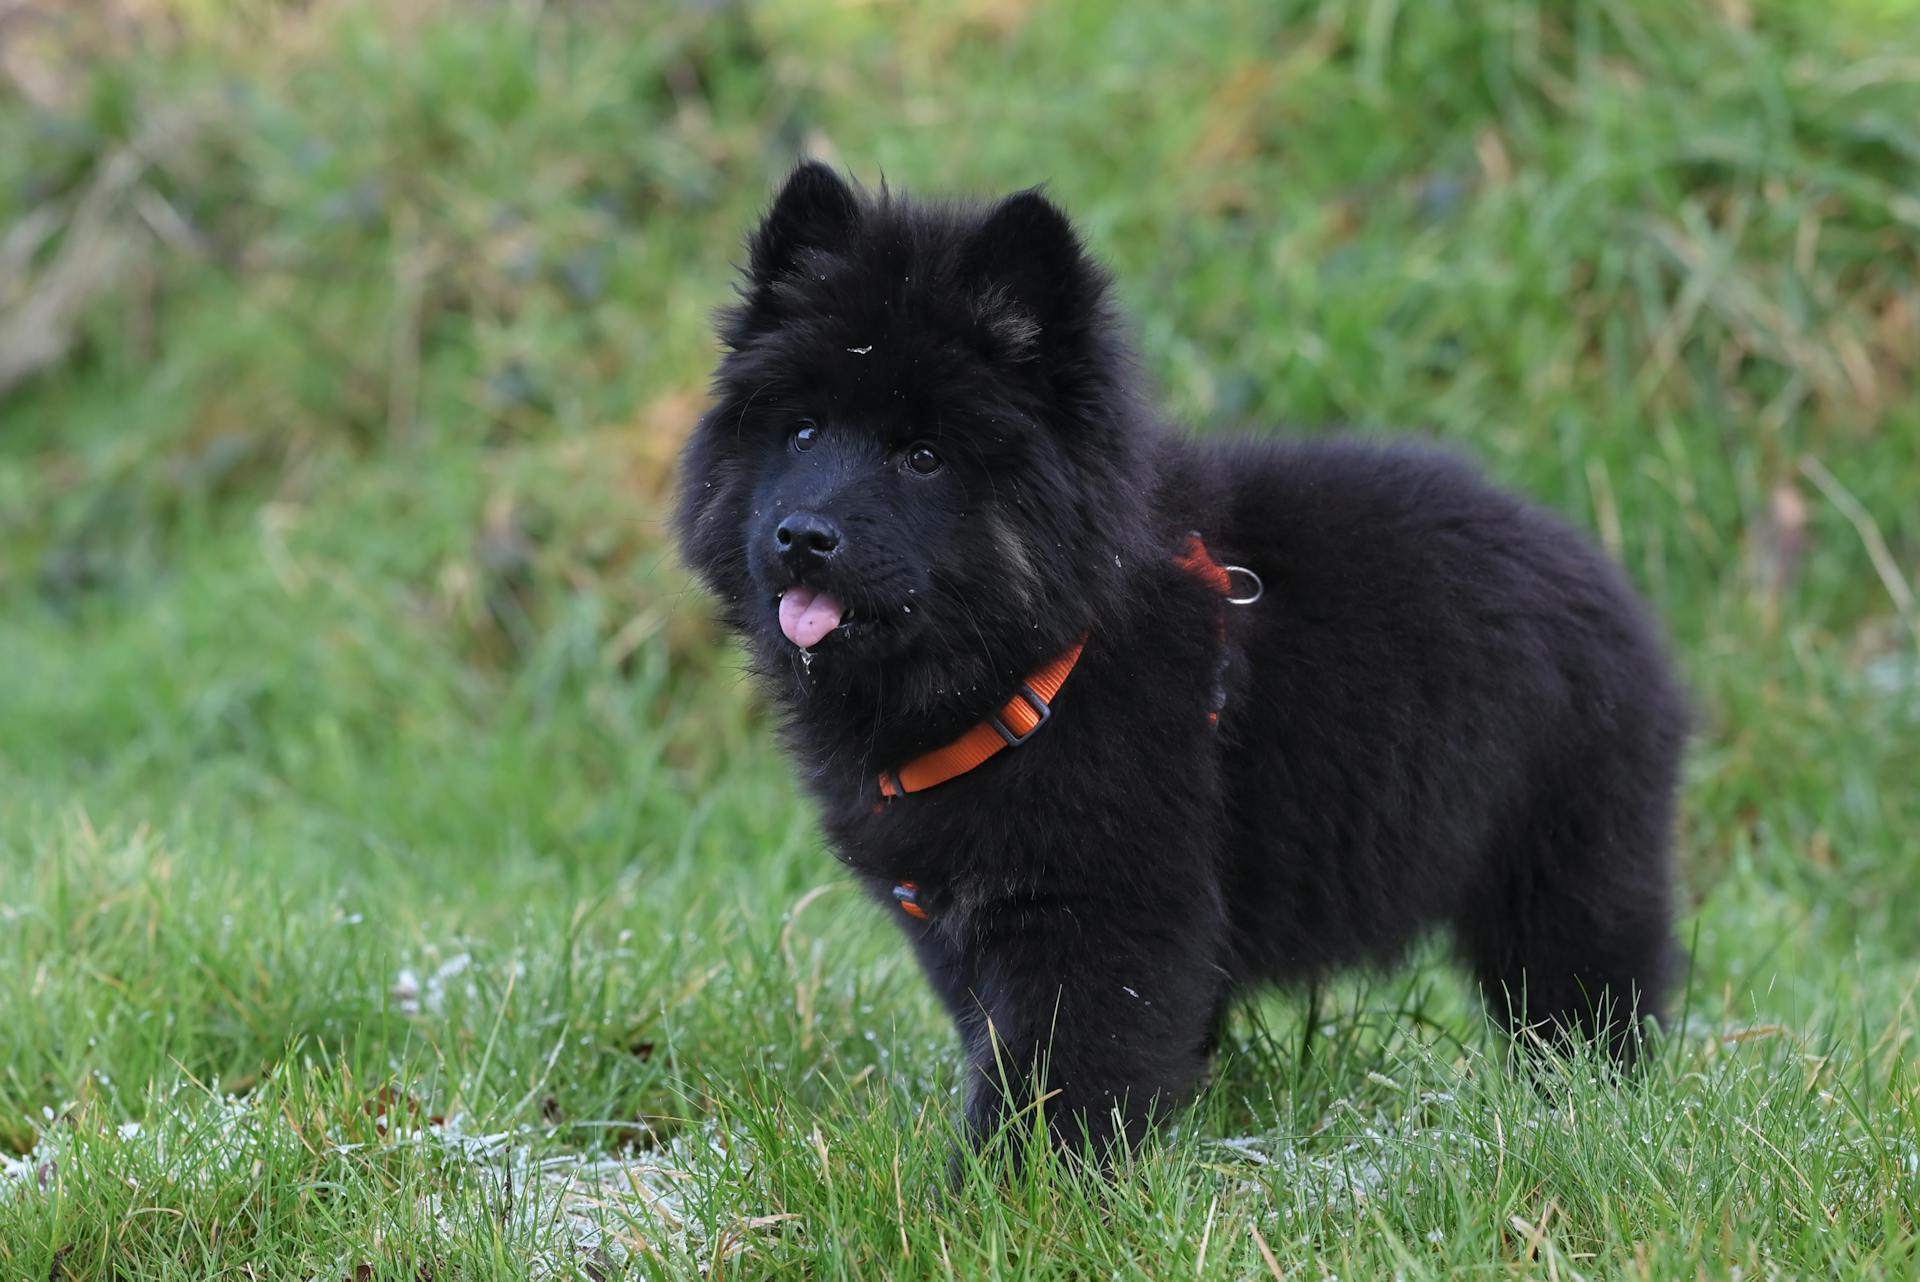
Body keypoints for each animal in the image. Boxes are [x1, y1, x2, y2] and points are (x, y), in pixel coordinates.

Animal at [672, 165, 1681, 1159]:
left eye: (922, 456)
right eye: (803, 432)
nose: (803, 536)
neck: (1045, 664)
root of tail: (1604, 581)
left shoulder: (1104, 904)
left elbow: (1061, 1059)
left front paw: (1020, 1180)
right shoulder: (965, 923)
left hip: (1564, 864)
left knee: (1587, 991)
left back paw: (1588, 1104)